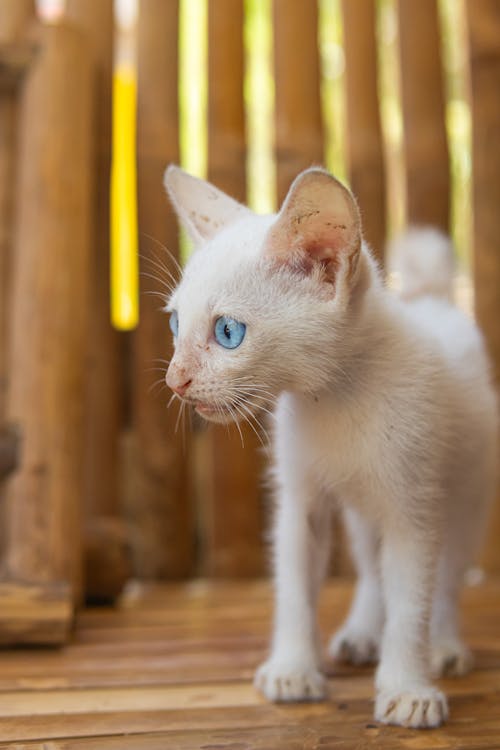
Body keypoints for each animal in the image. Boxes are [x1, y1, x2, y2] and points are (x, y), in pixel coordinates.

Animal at [163, 166, 496, 728]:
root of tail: (434, 301)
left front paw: (407, 687)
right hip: (362, 510)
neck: (336, 398)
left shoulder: (414, 509)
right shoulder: (301, 502)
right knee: (369, 564)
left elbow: (412, 600)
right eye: (173, 323)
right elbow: (295, 586)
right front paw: (293, 668)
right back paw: (362, 633)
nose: (175, 380)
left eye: (228, 332)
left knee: (448, 572)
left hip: (467, 492)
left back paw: (445, 645)